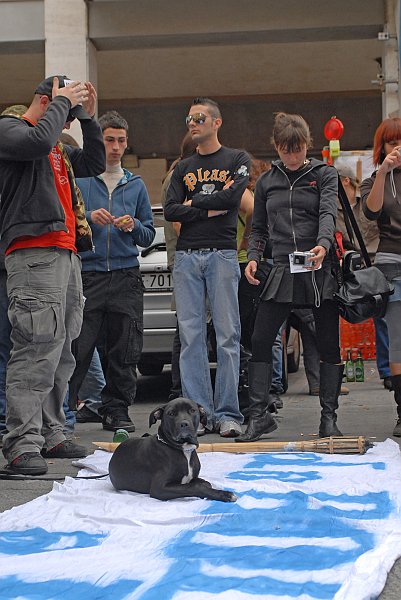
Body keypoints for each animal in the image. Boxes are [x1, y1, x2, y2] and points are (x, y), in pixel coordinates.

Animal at [108, 398, 236, 502]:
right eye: (171, 413)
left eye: (192, 410)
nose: (184, 424)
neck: (184, 449)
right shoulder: (159, 488)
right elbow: (195, 486)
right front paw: (224, 494)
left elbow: (205, 483)